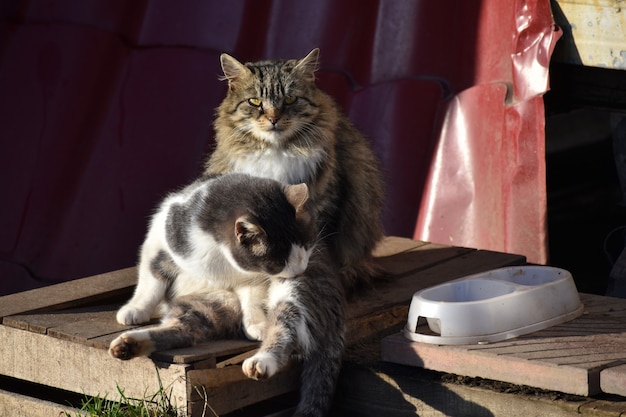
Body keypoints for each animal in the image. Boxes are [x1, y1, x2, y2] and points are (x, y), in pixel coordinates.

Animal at [106, 171, 342, 412]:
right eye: (278, 262)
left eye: (307, 248)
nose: (300, 270)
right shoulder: (160, 238)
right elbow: (151, 279)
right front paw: (136, 309)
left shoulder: (254, 279)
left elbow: (253, 299)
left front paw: (257, 324)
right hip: (204, 306)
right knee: (185, 331)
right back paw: (127, 345)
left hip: (293, 296)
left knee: (285, 331)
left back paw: (260, 363)